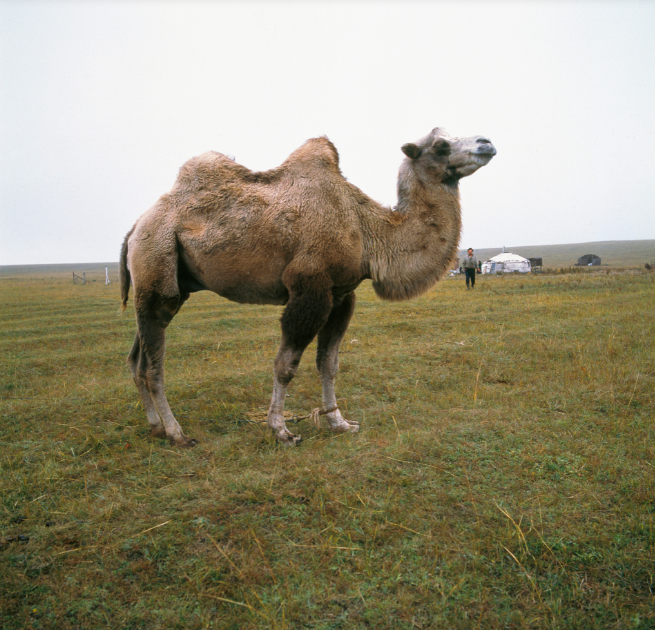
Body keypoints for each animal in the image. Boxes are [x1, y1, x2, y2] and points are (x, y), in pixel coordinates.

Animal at [119, 128, 498, 446]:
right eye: (441, 145)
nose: (487, 143)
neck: (367, 229)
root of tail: (136, 227)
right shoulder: (309, 288)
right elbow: (285, 365)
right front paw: (281, 430)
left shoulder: (341, 295)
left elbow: (328, 364)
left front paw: (339, 423)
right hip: (157, 262)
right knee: (152, 364)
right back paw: (177, 433)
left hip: (166, 285)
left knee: (136, 359)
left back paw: (155, 427)